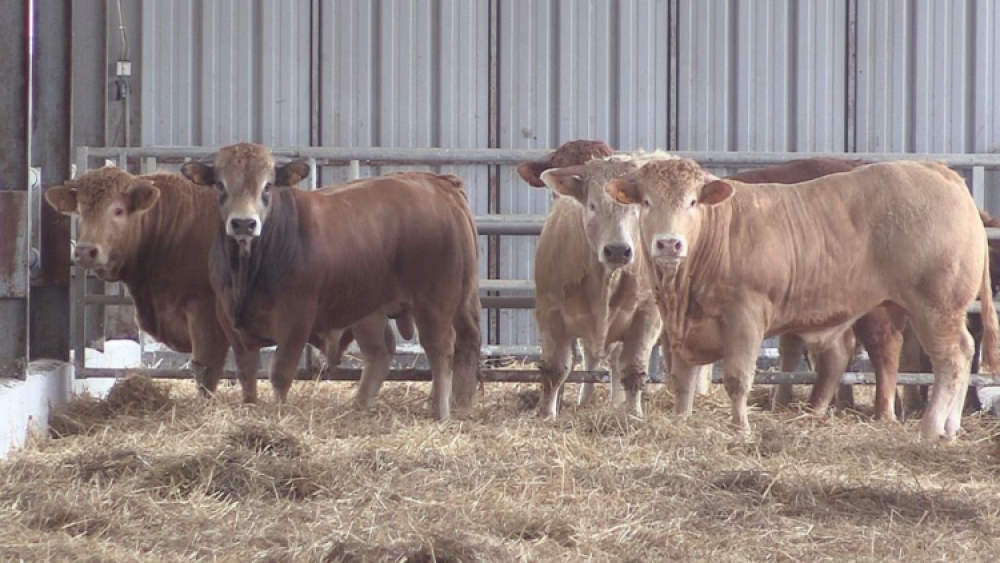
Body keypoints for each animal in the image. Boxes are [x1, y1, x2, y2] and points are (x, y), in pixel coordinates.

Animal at [185, 143, 484, 420]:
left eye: (267, 186)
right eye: (220, 185)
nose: (244, 223)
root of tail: (438, 182)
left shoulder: (296, 320)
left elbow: (280, 372)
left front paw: (278, 415)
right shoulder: (229, 319)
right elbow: (247, 374)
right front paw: (250, 408)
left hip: (435, 301)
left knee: (442, 348)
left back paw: (441, 412)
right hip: (371, 306)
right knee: (384, 351)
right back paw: (366, 406)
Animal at [608, 158, 1000, 440]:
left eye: (692, 202)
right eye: (646, 201)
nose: (668, 243)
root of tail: (939, 171)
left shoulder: (746, 317)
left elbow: (737, 378)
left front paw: (741, 429)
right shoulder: (683, 325)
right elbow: (683, 377)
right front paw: (681, 419)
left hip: (935, 305)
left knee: (950, 358)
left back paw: (931, 427)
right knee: (963, 352)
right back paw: (949, 427)